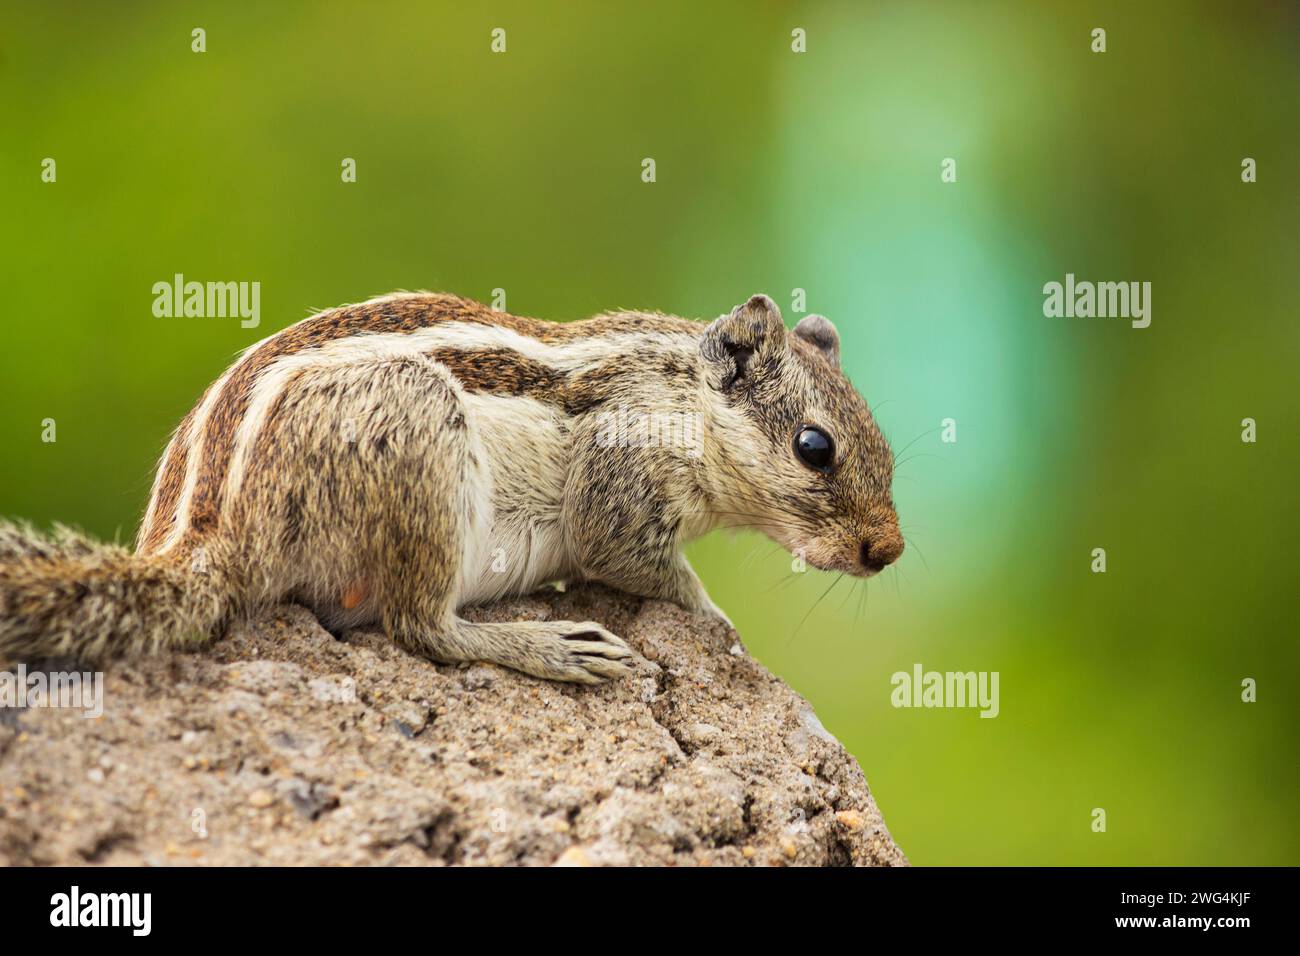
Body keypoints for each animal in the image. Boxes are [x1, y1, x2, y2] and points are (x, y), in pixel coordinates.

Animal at [0, 292, 903, 683]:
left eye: (887, 448)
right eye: (815, 447)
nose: (888, 551)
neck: (681, 392)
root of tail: (205, 537)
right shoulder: (621, 484)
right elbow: (643, 564)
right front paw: (718, 620)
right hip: (422, 438)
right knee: (421, 628)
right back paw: (553, 648)